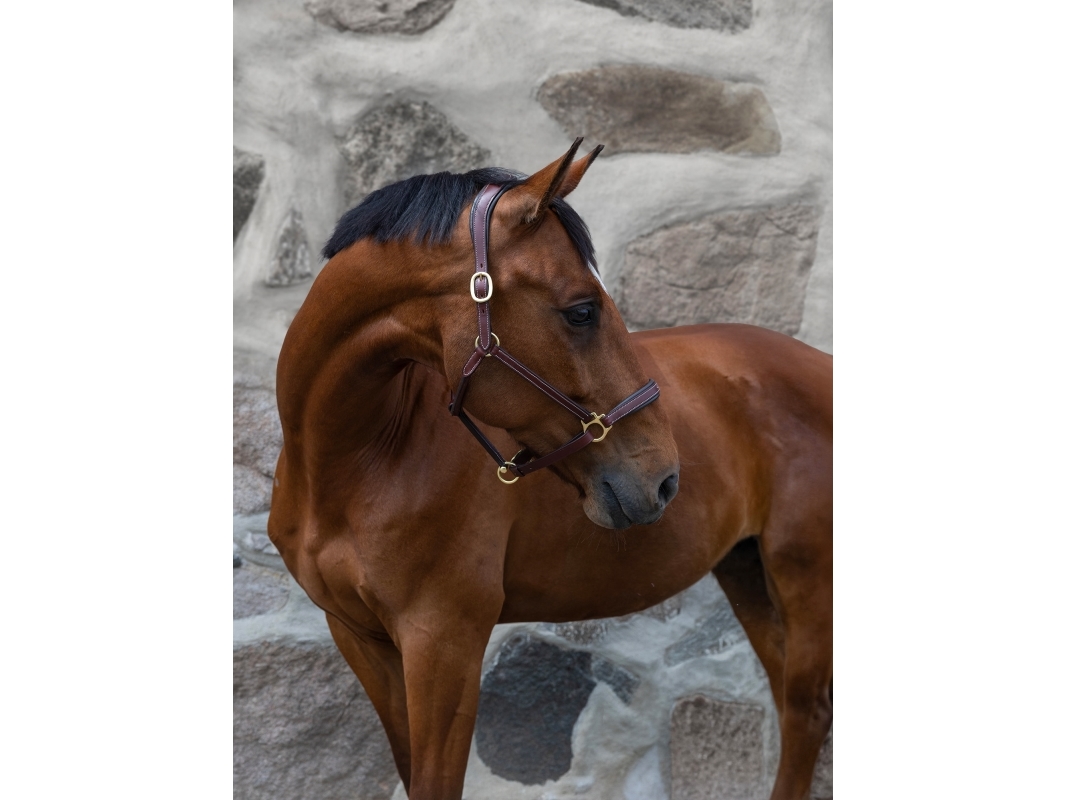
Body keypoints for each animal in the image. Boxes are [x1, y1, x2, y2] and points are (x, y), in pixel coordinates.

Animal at [267, 138, 832, 800]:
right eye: (582, 311)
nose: (663, 478)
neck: (362, 462)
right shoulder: (362, 640)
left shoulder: (444, 642)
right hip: (747, 573)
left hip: (805, 580)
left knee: (806, 711)